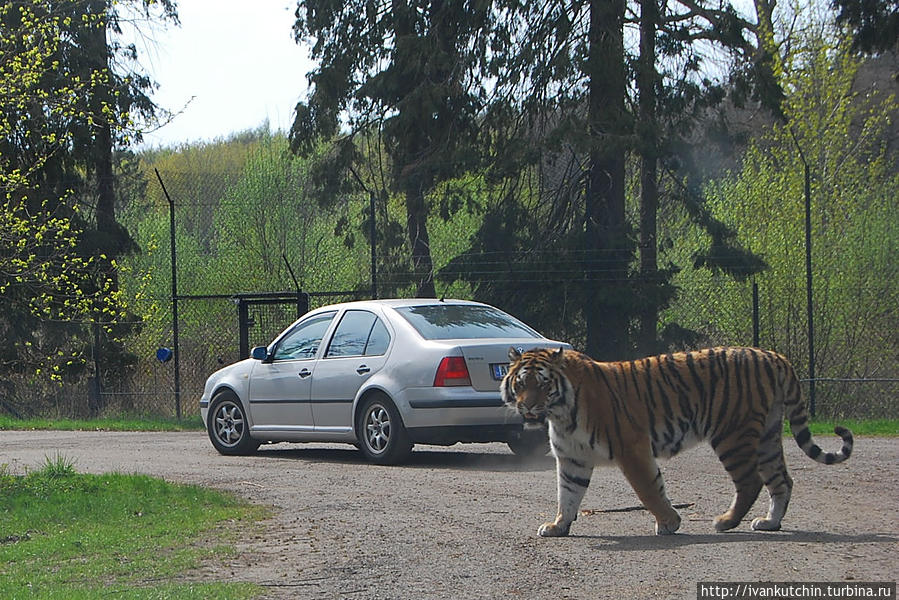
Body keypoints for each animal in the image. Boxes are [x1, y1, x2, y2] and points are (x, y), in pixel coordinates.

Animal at [502, 344, 856, 536]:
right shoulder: (572, 458)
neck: (560, 413)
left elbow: (649, 489)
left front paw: (669, 522)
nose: (528, 407)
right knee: (782, 480)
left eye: (543, 384)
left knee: (751, 481)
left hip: (732, 434)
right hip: (768, 435)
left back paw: (725, 522)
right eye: (521, 384)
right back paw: (769, 522)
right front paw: (558, 526)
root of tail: (774, 356)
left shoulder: (632, 448)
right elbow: (568, 495)